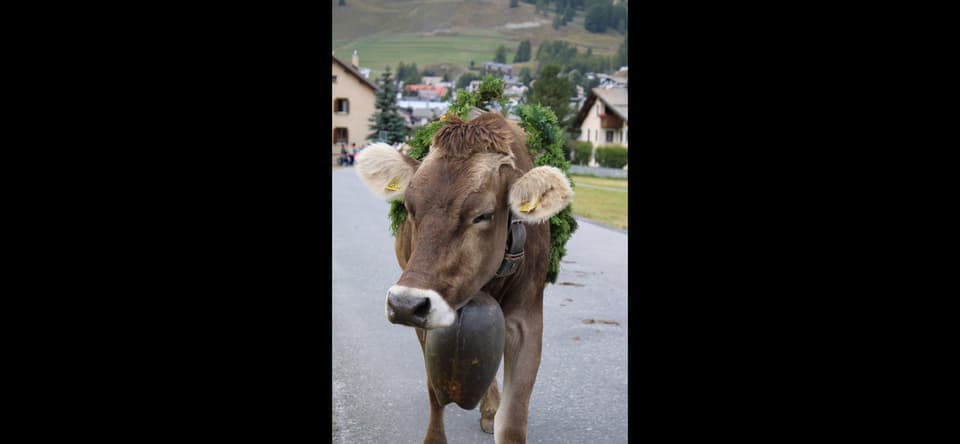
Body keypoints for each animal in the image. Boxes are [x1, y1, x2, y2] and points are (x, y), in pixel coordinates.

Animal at [356, 112, 572, 444]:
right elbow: (435, 390)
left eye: (483, 215)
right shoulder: (427, 320)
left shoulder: (528, 320)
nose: (404, 304)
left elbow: (513, 421)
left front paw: (499, 414)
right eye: (409, 206)